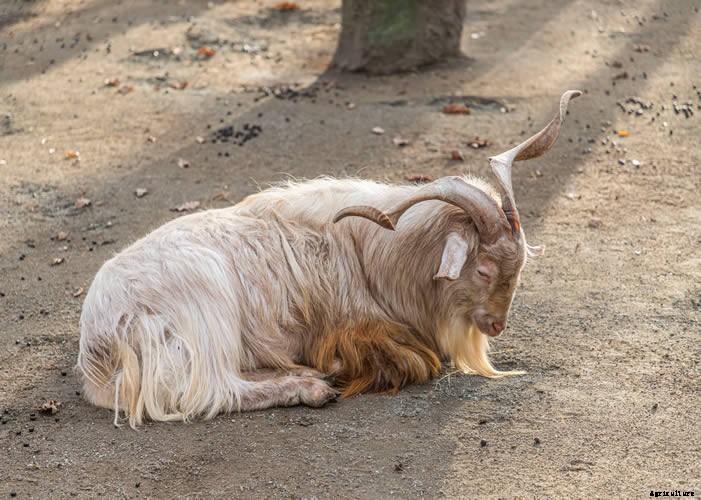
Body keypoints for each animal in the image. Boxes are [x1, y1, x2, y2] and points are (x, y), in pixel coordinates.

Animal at [77, 91, 580, 427]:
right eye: (482, 267)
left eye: (519, 268)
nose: (497, 325)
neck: (375, 256)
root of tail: (99, 342)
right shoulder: (356, 324)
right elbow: (414, 361)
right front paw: (336, 371)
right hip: (207, 301)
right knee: (210, 392)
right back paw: (310, 387)